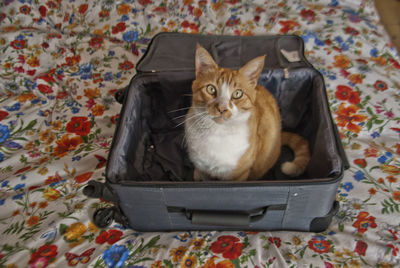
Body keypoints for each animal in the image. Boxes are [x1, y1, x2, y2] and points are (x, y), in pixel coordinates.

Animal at [183, 44, 310, 182]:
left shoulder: (239, 174)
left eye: (237, 94)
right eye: (211, 89)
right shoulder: (202, 169)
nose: (222, 108)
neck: (217, 132)